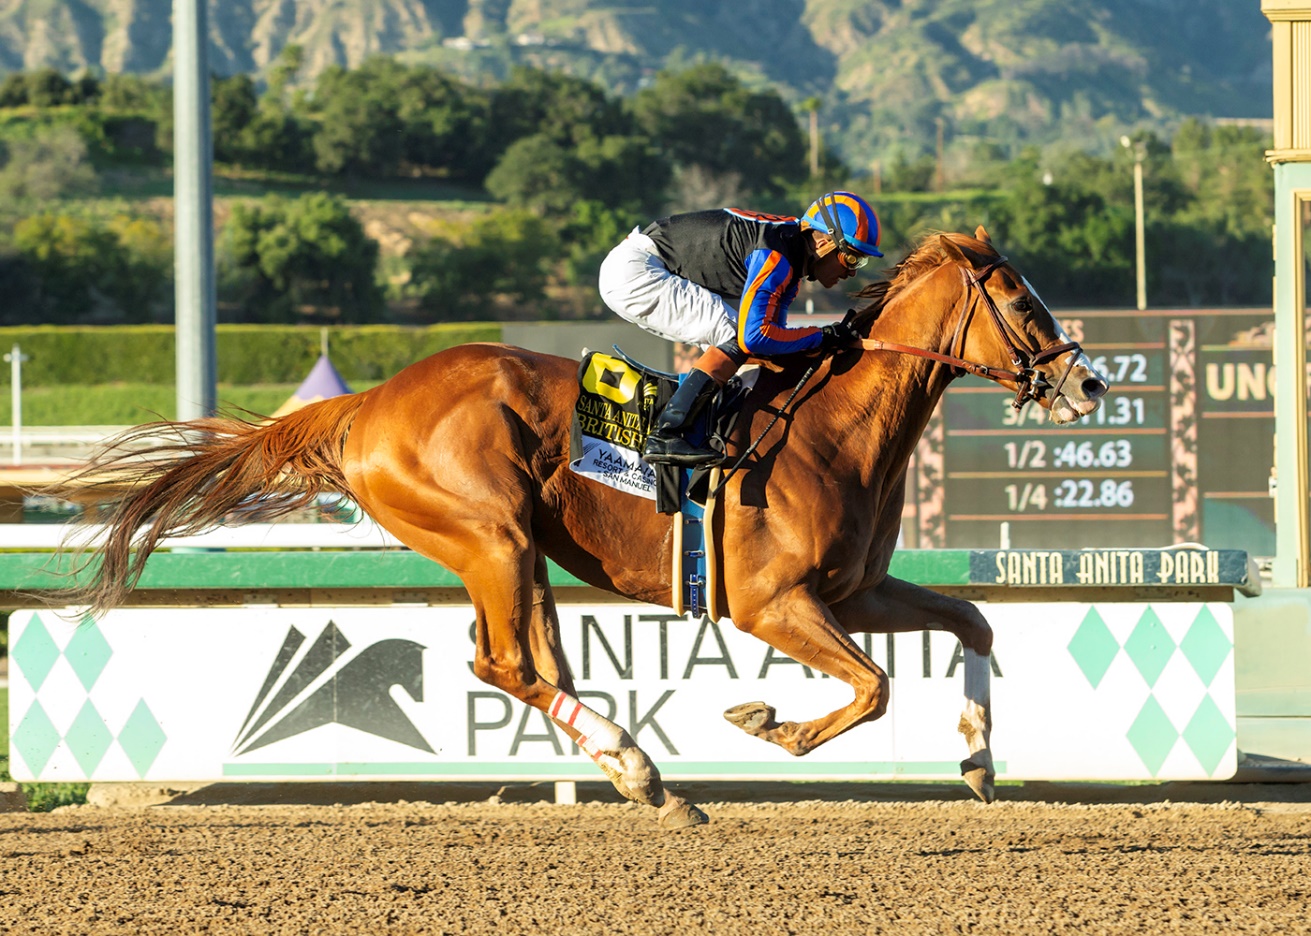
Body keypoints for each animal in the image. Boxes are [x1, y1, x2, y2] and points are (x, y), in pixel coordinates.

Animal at [53, 228, 1109, 829]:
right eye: (1020, 299)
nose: (1089, 382)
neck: (832, 428)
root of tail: (367, 402)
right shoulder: (773, 605)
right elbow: (874, 688)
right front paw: (765, 722)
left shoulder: (854, 593)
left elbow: (971, 621)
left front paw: (977, 760)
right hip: (493, 537)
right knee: (505, 664)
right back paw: (643, 772)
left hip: (515, 551)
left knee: (532, 664)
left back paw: (641, 774)